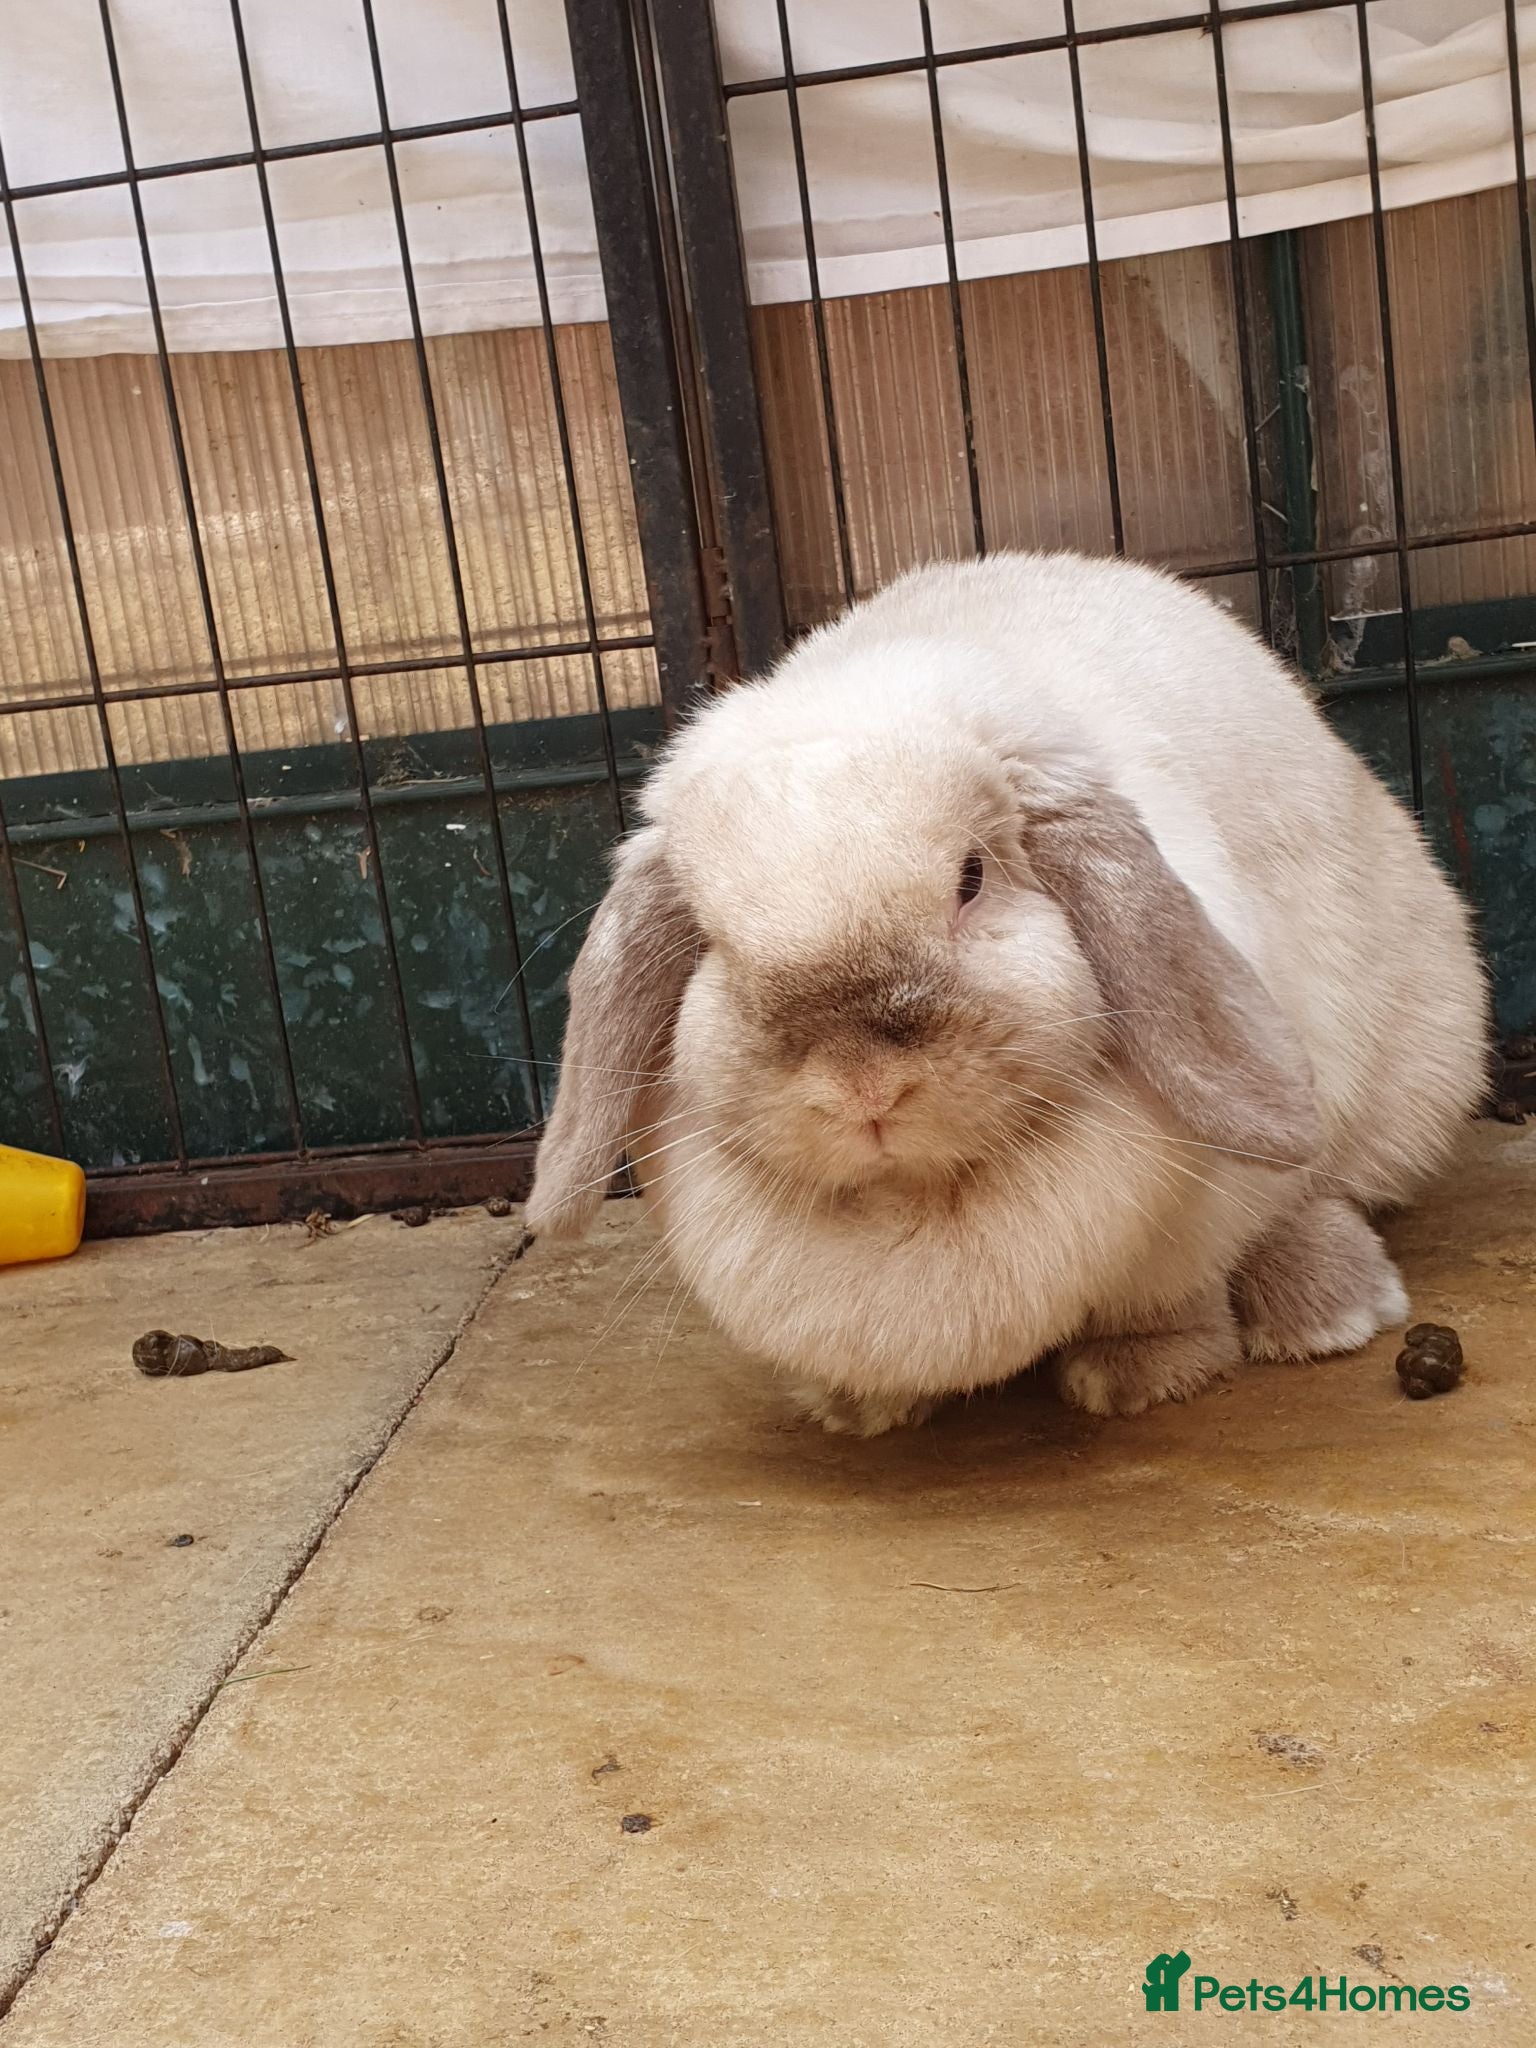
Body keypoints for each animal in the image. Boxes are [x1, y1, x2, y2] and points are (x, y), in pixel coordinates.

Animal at [526, 552, 1487, 1434]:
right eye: (717, 945)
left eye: (971, 879)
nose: (863, 1087)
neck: (921, 1201)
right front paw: (853, 1406)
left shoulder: (1193, 1224)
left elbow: (1175, 1299)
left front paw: (1137, 1376)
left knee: (1323, 1191)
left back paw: (1325, 1307)